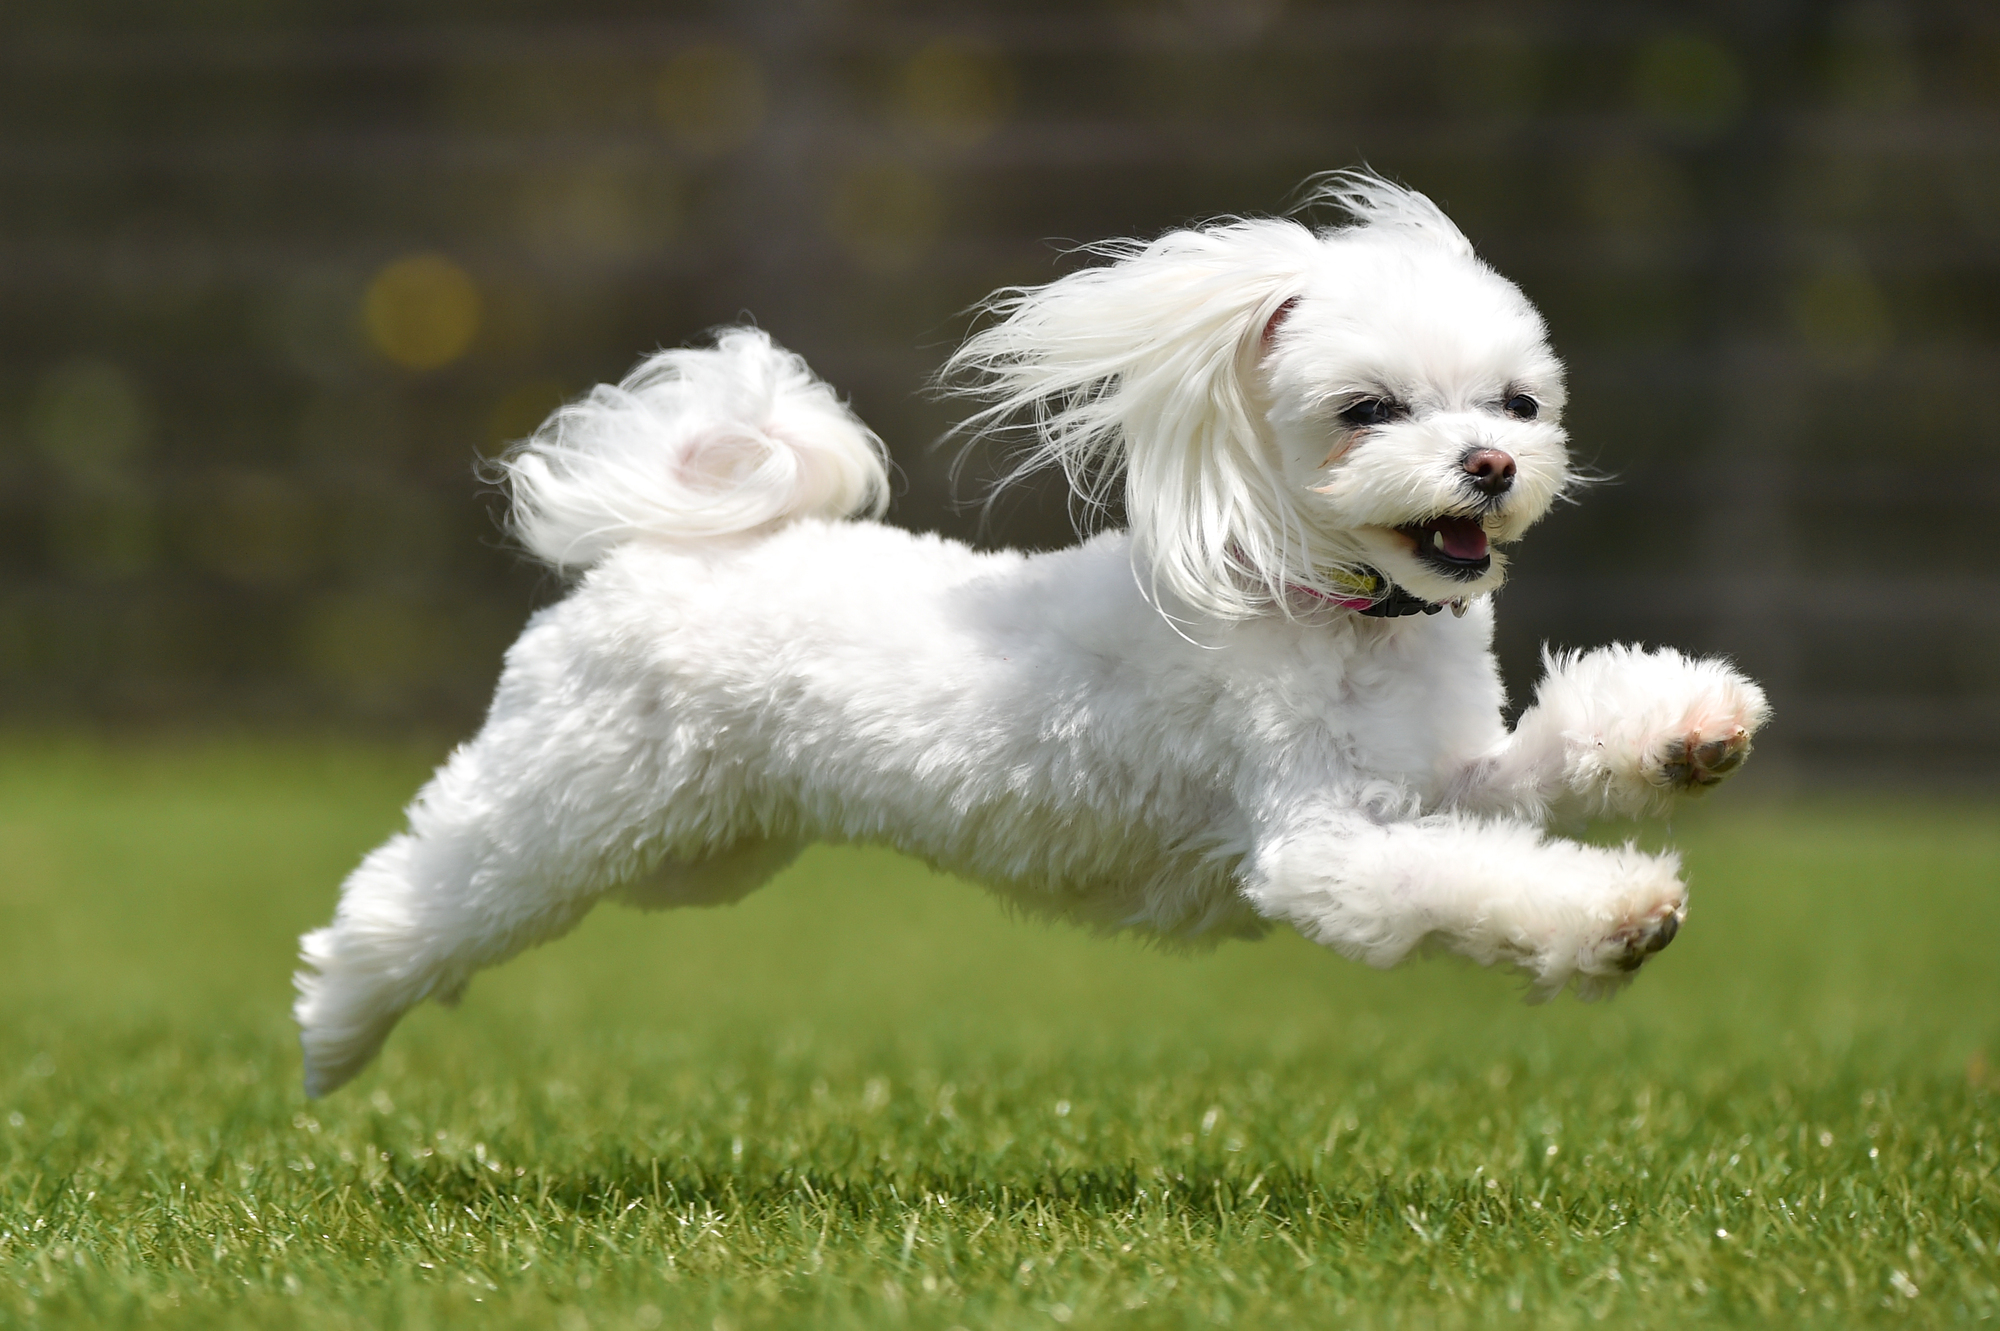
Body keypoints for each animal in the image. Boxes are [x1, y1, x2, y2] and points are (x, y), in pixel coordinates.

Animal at [292, 173, 1768, 1087]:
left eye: (1518, 403)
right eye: (1367, 410)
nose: (1490, 465)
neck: (1333, 611)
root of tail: (665, 548)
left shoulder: (1444, 771)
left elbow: (1542, 765)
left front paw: (1689, 732)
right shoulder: (1319, 839)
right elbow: (1460, 879)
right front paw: (1619, 910)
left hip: (703, 844)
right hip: (573, 796)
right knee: (420, 895)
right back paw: (333, 1025)